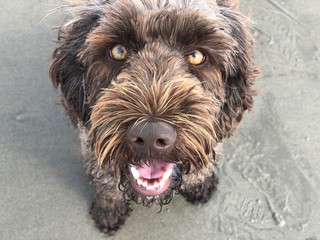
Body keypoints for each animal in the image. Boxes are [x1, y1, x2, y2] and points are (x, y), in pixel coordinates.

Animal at [50, 0, 260, 234]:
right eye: (118, 51)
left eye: (197, 56)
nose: (150, 136)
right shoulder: (91, 143)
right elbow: (104, 179)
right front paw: (109, 210)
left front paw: (199, 183)